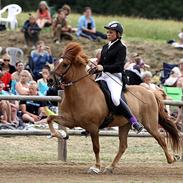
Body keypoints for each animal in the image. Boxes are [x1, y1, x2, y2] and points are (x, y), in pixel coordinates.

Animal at [46, 42, 180, 174]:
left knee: (160, 139)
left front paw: (96, 167)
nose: (49, 80)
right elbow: (50, 118)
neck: (81, 94)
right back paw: (110, 167)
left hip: (150, 124)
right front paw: (61, 134)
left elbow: (96, 147)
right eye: (56, 62)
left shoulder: (93, 127)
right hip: (125, 125)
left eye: (65, 64)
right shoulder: (70, 121)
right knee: (123, 146)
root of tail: (151, 92)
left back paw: (171, 159)